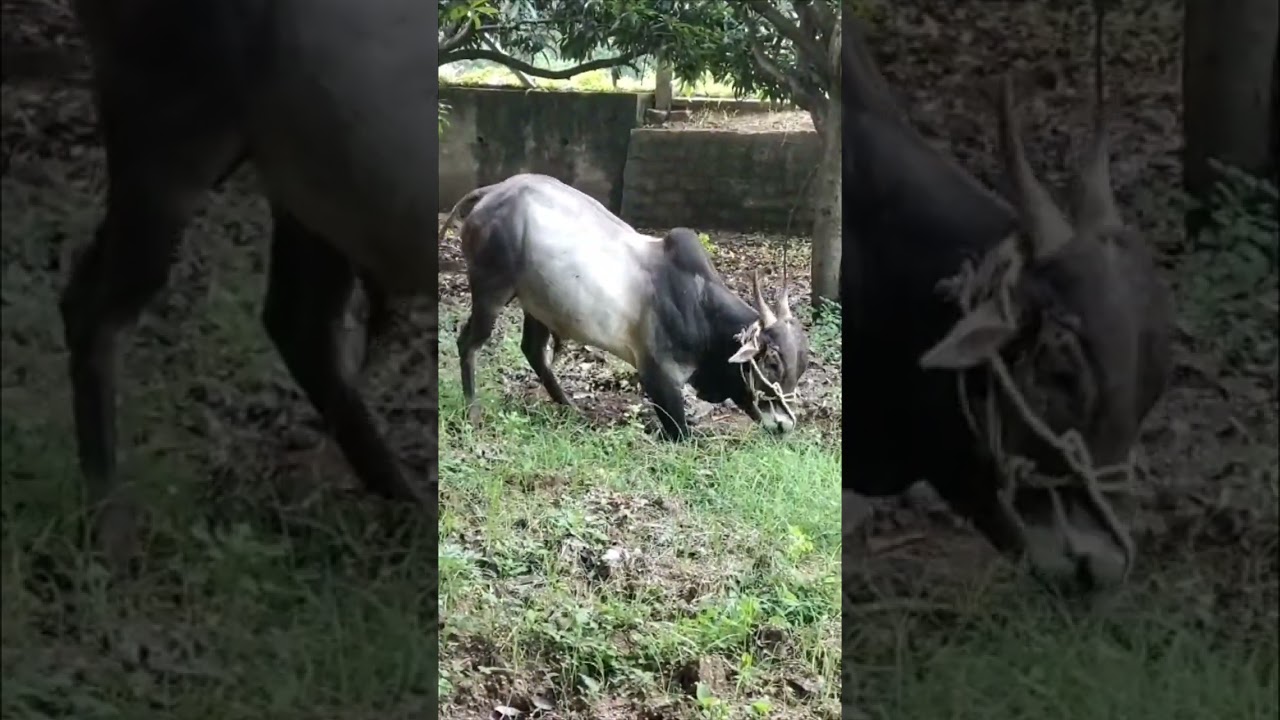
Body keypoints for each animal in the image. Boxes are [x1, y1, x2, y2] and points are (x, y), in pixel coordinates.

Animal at [59, 0, 440, 570]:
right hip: (166, 115)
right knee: (93, 308)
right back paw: (112, 532)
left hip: (308, 166)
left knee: (296, 321)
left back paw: (405, 500)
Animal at [438, 173, 811, 442]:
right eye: (772, 362)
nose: (785, 425)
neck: (699, 308)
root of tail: (492, 191)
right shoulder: (657, 374)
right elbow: (683, 434)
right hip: (491, 291)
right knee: (468, 342)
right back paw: (473, 411)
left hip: (537, 303)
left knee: (533, 351)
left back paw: (570, 407)